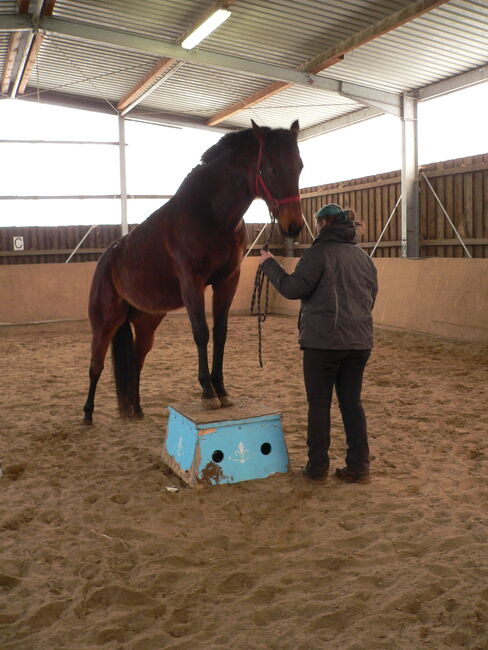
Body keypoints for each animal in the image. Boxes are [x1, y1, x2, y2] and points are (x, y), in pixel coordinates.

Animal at [84, 119, 304, 422]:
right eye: (270, 168)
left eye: (300, 166)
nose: (294, 226)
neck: (211, 214)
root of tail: (108, 257)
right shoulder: (192, 282)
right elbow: (201, 332)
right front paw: (208, 393)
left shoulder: (228, 281)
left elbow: (220, 332)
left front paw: (221, 389)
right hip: (105, 321)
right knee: (96, 365)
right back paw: (87, 414)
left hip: (146, 323)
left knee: (136, 363)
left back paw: (137, 409)